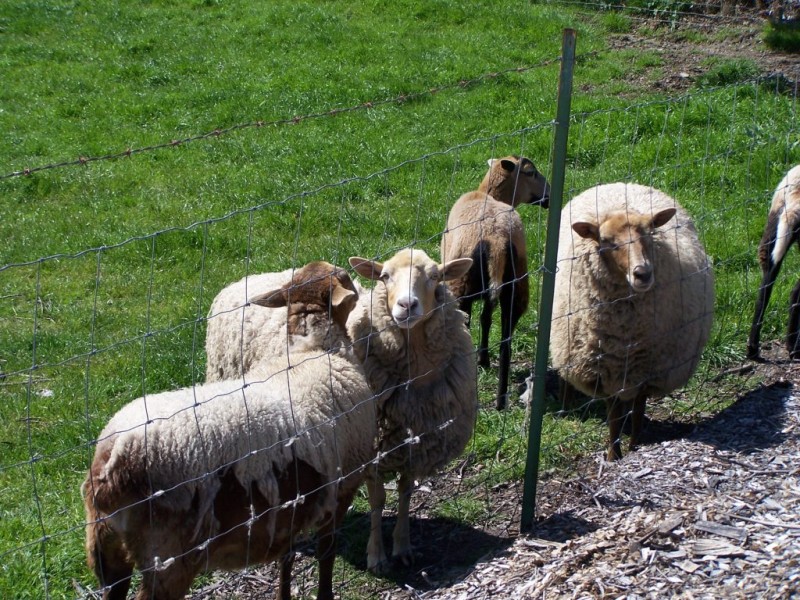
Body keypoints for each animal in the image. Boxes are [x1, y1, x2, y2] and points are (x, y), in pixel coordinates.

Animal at [82, 261, 377, 600]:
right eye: (345, 278)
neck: (314, 351)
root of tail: (112, 460)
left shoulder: (290, 509)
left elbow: (287, 558)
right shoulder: (342, 487)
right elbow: (327, 553)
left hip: (106, 550)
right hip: (168, 560)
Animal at [346, 248, 477, 572]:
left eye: (435, 276)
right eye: (384, 276)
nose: (407, 305)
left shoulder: (414, 445)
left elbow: (405, 493)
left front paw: (402, 547)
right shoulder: (373, 450)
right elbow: (378, 501)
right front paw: (377, 556)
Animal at [441, 155, 550, 409]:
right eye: (531, 173)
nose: (548, 195)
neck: (486, 194)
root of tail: (497, 240)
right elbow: (487, 319)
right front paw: (484, 359)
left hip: (461, 287)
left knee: (467, 327)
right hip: (517, 286)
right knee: (506, 342)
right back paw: (500, 400)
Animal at [550, 183, 714, 461]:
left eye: (649, 233)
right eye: (607, 241)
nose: (643, 273)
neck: (625, 334)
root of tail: (619, 184)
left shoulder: (649, 371)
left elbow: (638, 412)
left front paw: (635, 446)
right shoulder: (603, 372)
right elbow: (613, 417)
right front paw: (613, 455)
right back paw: (563, 404)